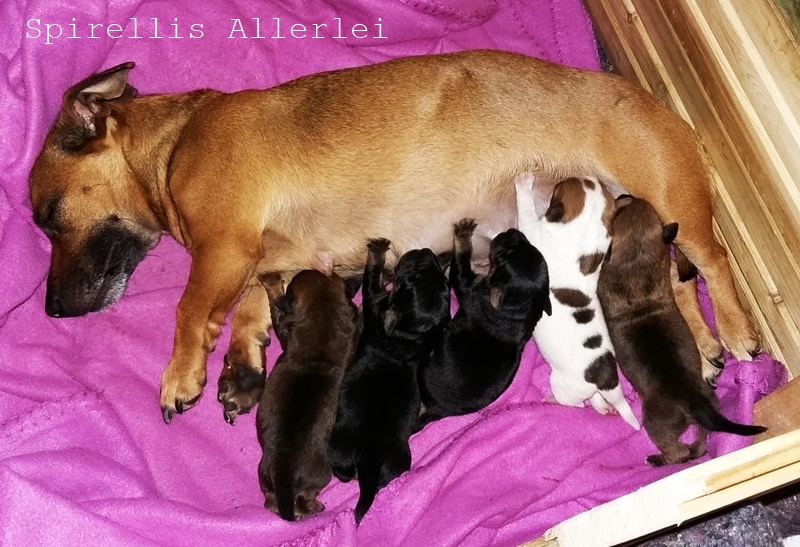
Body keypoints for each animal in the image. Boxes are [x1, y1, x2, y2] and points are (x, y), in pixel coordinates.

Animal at [255, 270, 360, 521]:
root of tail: (284, 472)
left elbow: (276, 310)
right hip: (295, 476)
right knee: (291, 499)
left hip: (275, 477)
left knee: (280, 501)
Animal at [328, 238, 450, 524]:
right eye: (435, 273)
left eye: (409, 278)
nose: (426, 251)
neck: (411, 336)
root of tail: (369, 456)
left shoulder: (374, 303)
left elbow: (371, 279)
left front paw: (377, 251)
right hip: (399, 461)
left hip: (338, 445)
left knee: (344, 472)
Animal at [417, 220, 551, 426]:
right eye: (530, 245)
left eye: (503, 256)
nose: (512, 230)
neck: (518, 311)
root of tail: (435, 410)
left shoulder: (468, 288)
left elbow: (460, 263)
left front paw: (463, 235)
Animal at [515, 174, 640, 430]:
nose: (589, 175)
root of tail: (606, 378)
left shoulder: (533, 231)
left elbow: (526, 208)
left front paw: (523, 182)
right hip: (591, 390)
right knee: (596, 400)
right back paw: (604, 408)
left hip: (562, 385)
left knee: (578, 404)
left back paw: (553, 400)